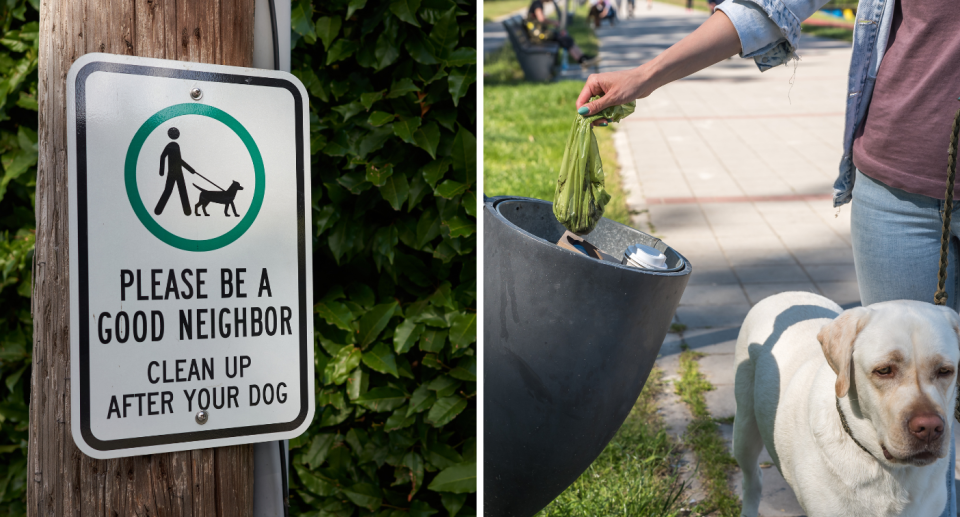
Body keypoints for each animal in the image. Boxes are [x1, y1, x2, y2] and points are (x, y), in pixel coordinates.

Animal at [736, 292, 952, 512]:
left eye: (945, 371)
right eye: (884, 370)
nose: (929, 428)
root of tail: (786, 293)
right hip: (744, 431)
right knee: (752, 478)